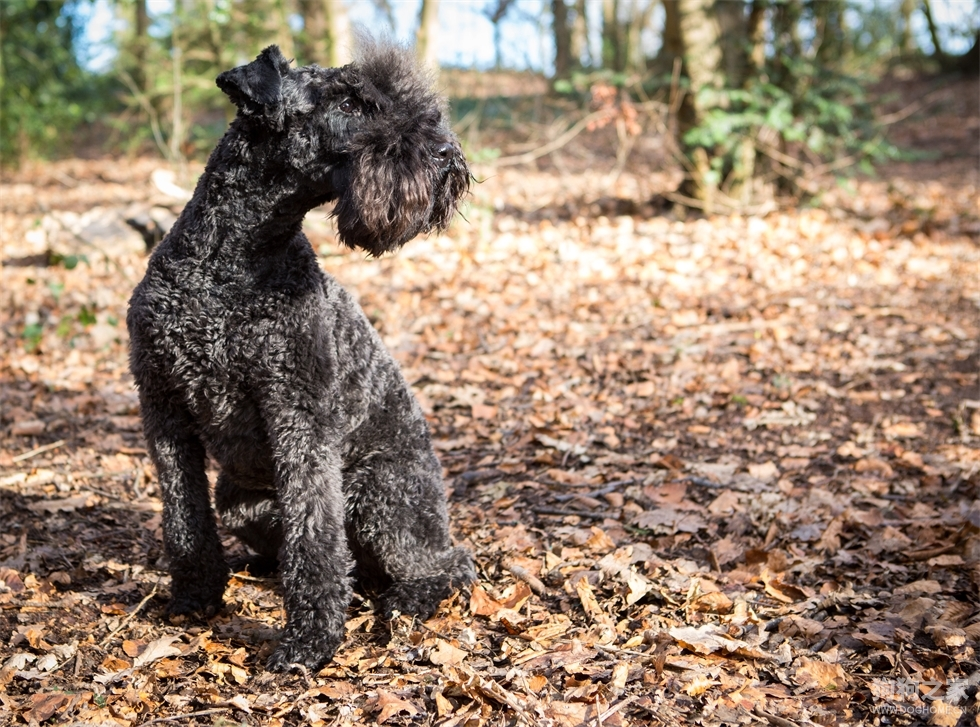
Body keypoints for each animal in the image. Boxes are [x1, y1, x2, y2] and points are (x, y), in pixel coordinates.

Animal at [127, 42, 478, 672]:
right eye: (348, 103)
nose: (445, 154)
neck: (232, 262)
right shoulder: (162, 408)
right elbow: (183, 518)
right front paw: (194, 596)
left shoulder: (298, 412)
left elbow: (314, 533)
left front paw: (310, 640)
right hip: (241, 502)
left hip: (379, 497)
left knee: (446, 563)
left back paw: (403, 602)